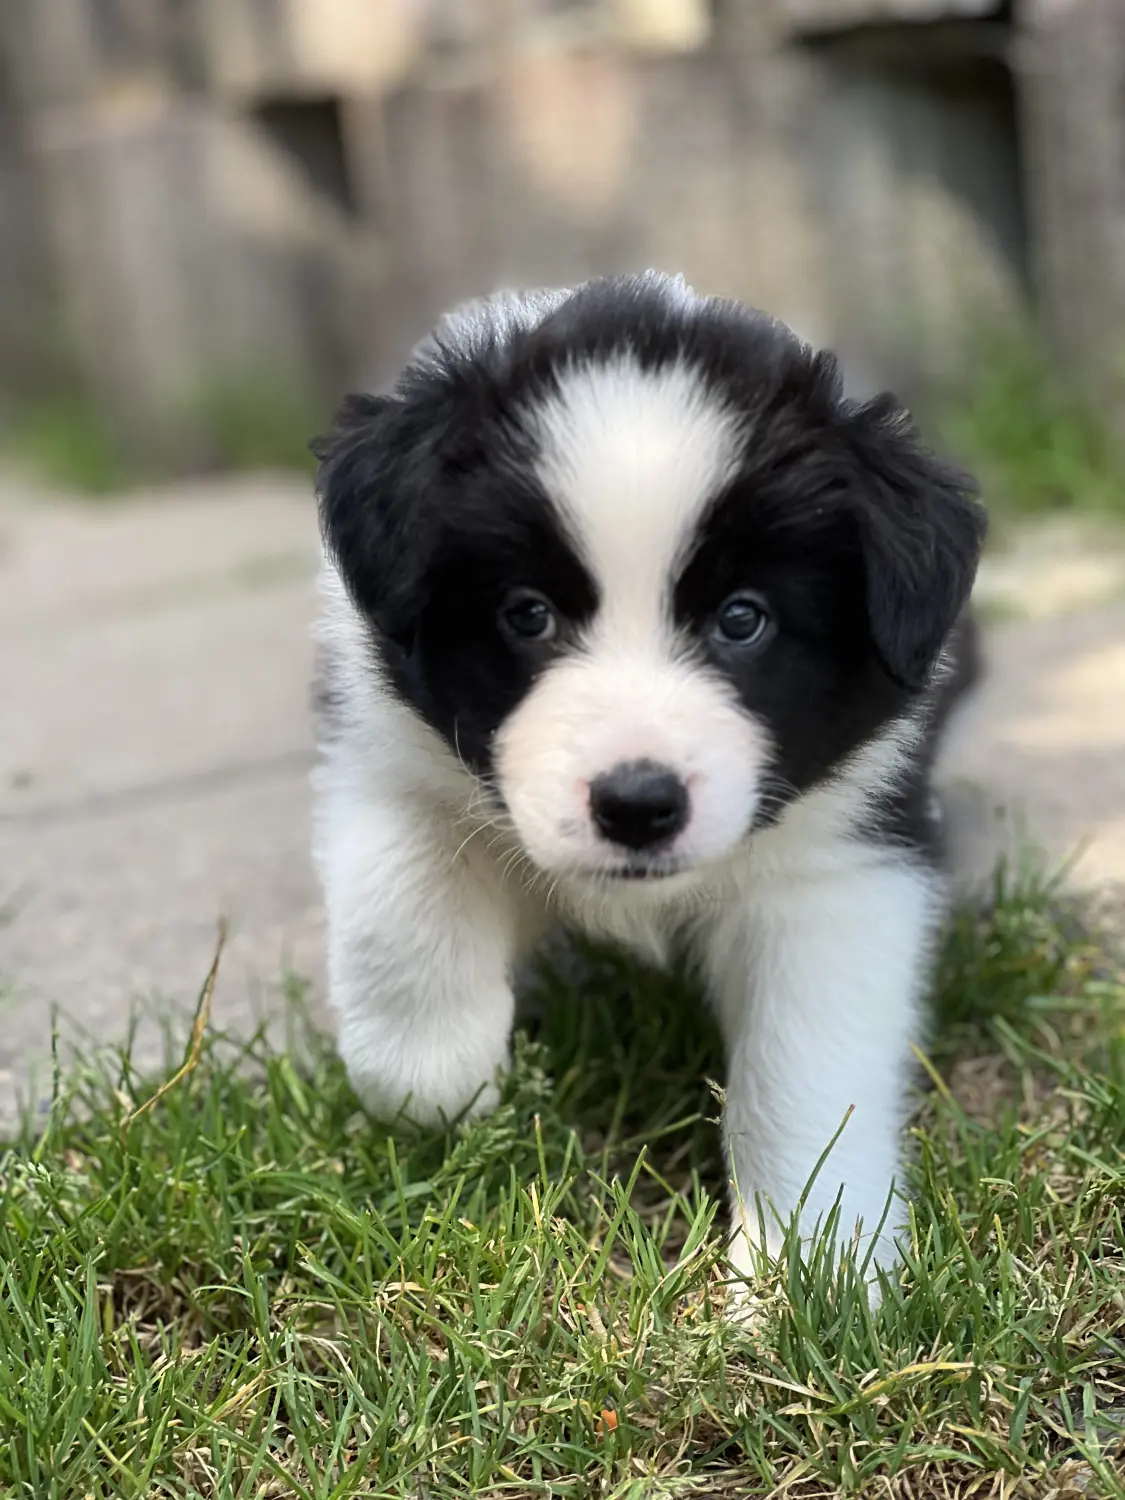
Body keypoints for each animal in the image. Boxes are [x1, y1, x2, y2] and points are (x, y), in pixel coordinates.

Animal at [310, 276, 984, 1284]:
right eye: (526, 614)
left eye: (742, 619)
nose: (635, 806)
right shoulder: (386, 739)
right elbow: (401, 901)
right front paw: (437, 1081)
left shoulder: (841, 859)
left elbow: (804, 1069)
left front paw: (810, 1270)